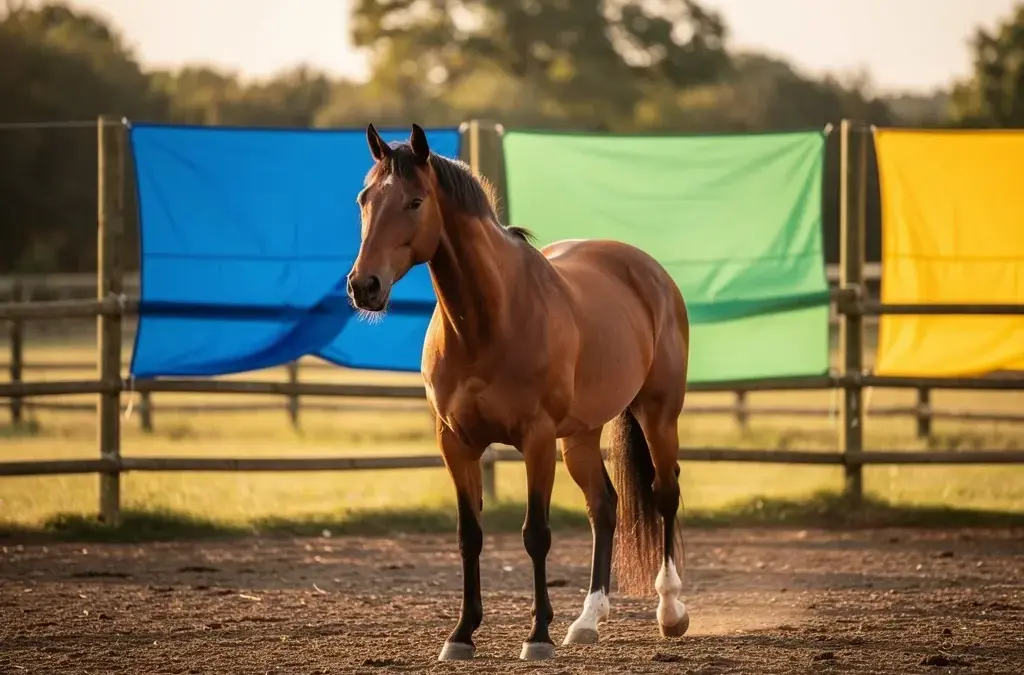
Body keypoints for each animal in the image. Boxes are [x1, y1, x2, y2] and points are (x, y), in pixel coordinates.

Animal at [346, 123, 691, 662]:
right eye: (365, 199)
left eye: (414, 201)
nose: (364, 285)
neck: (488, 322)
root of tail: (649, 272)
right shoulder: (456, 443)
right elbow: (470, 535)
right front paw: (461, 633)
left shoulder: (537, 439)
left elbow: (536, 535)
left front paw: (538, 635)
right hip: (581, 436)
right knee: (605, 507)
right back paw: (587, 621)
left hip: (657, 415)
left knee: (664, 493)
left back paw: (670, 611)